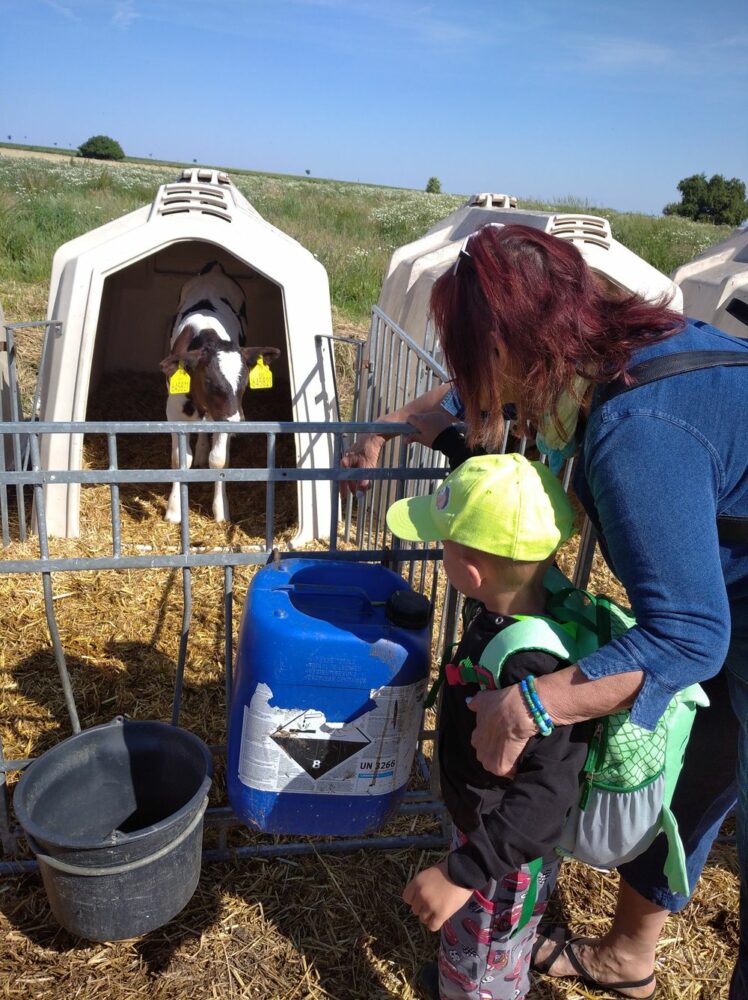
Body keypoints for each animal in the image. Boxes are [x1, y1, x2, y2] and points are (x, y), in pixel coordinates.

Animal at [161, 262, 280, 524]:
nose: (237, 422)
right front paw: (174, 510)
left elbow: (219, 460)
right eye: (209, 380)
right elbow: (179, 459)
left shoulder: (225, 414)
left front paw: (220, 509)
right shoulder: (174, 412)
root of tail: (214, 268)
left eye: (244, 382)